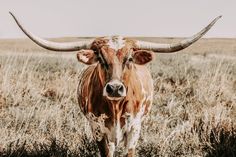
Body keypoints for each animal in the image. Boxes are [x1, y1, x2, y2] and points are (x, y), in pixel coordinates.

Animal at [9, 12, 221, 157]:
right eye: (101, 59)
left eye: (129, 59)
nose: (115, 88)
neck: (116, 107)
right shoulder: (97, 128)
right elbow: (106, 152)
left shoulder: (134, 128)